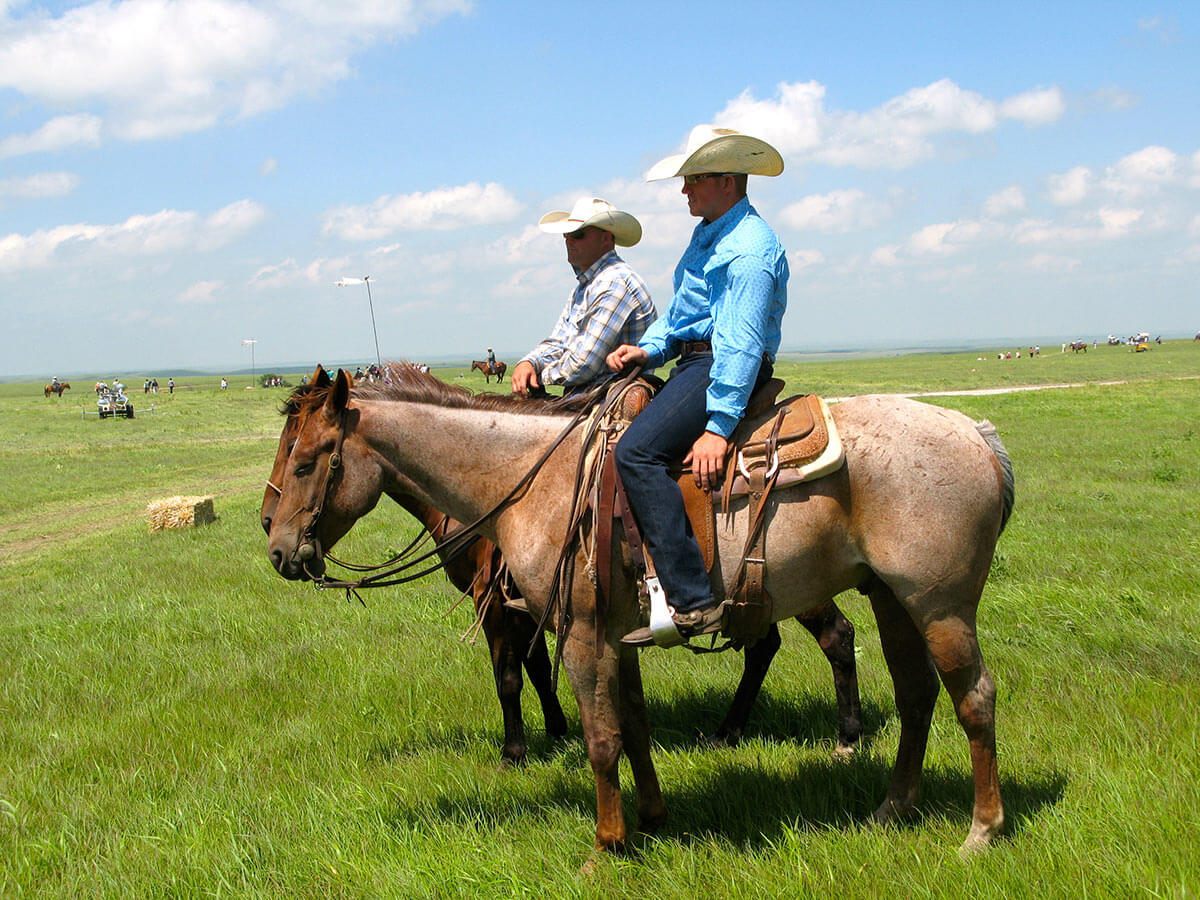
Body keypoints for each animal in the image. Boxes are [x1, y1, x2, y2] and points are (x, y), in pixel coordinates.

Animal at [262, 369, 864, 763]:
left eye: (306, 461)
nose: (274, 541)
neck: (511, 480)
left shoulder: (494, 602)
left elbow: (507, 675)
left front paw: (514, 750)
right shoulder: (529, 604)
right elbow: (533, 667)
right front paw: (556, 729)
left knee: (833, 636)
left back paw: (846, 736)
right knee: (773, 643)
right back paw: (732, 730)